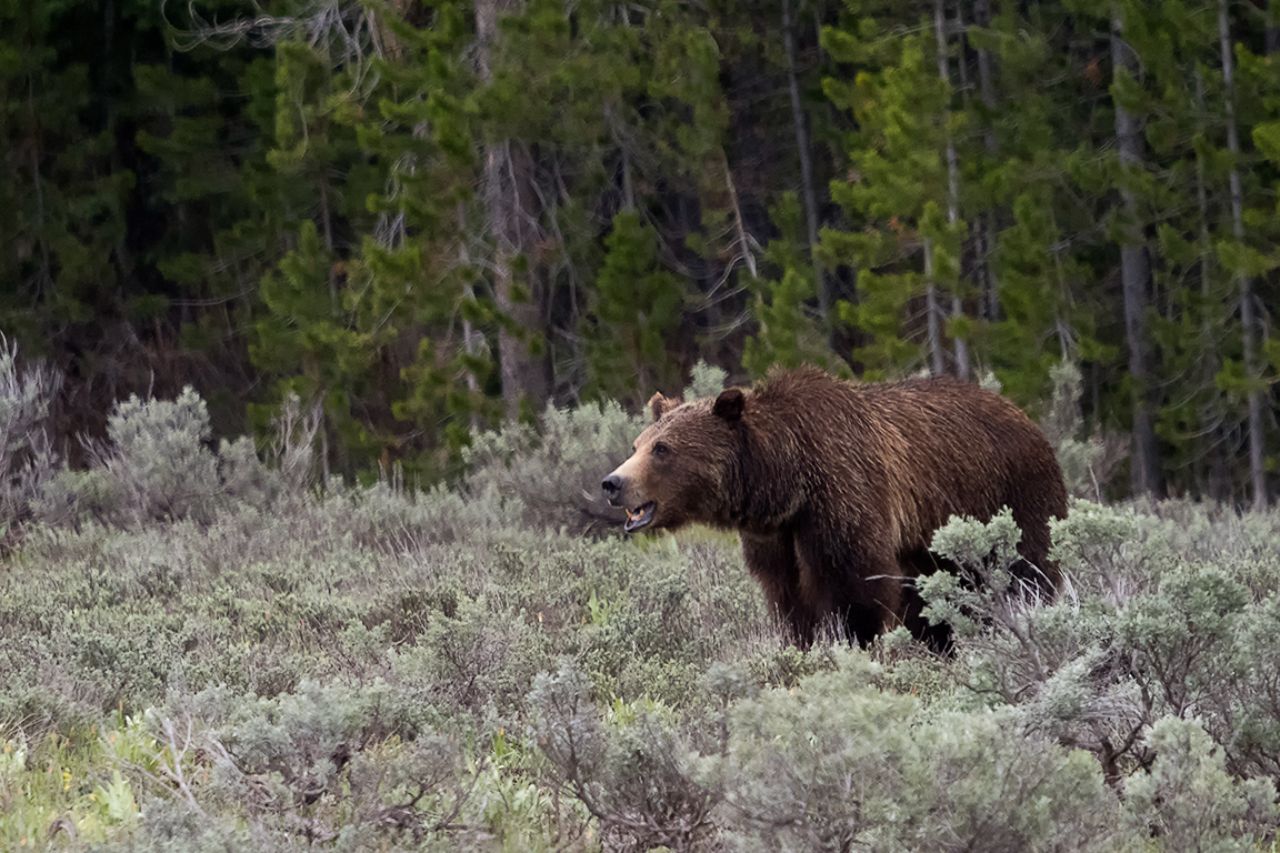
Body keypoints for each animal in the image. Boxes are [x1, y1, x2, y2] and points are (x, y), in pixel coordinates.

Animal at [600, 366, 1068, 649]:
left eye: (663, 449)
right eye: (638, 444)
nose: (612, 483)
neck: (788, 482)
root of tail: (1027, 417)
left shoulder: (843, 498)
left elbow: (857, 590)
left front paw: (855, 643)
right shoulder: (776, 538)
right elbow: (790, 603)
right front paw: (801, 645)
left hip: (1012, 494)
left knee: (1028, 568)